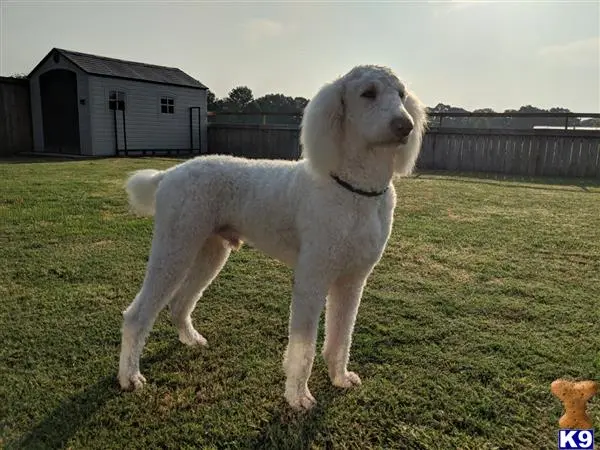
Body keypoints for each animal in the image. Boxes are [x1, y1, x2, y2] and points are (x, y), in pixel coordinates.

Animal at [118, 64, 426, 412]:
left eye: (401, 94)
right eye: (368, 93)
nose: (405, 126)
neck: (355, 191)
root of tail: (169, 174)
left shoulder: (352, 280)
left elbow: (341, 336)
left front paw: (339, 377)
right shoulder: (312, 278)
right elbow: (303, 347)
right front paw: (298, 396)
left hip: (209, 252)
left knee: (180, 302)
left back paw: (191, 340)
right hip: (174, 248)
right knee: (137, 315)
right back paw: (130, 377)